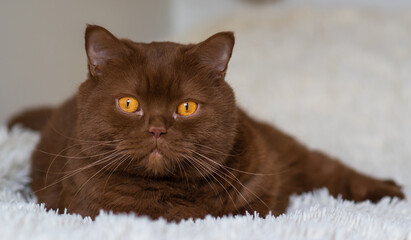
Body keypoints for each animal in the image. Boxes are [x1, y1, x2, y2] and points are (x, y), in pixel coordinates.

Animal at [8, 24, 406, 221]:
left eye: (186, 107)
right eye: (129, 103)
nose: (157, 128)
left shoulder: (260, 189)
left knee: (334, 172)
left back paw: (391, 192)